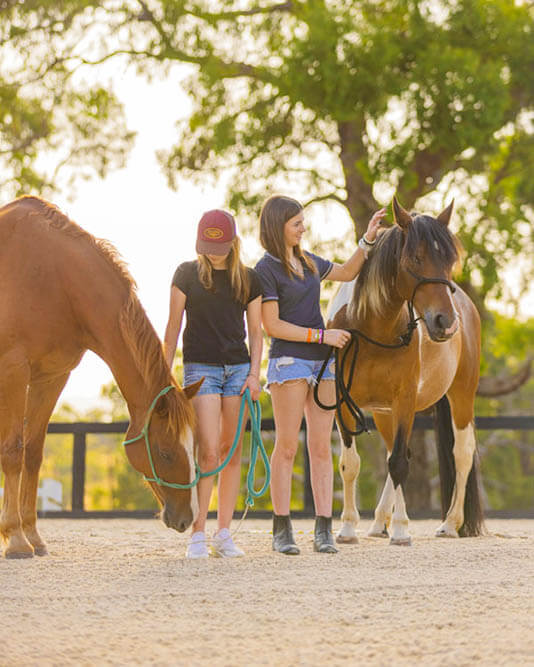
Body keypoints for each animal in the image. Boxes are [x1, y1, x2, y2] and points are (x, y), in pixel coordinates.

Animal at [0, 196, 202, 558]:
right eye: (165, 452)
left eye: (193, 446)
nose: (186, 519)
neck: (54, 279)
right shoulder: (14, 371)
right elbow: (12, 452)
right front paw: (17, 540)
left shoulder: (51, 377)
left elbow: (33, 453)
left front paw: (33, 535)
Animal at [327, 198, 484, 545]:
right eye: (416, 257)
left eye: (450, 260)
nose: (445, 323)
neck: (371, 328)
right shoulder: (344, 404)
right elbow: (350, 464)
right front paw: (347, 528)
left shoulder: (405, 401)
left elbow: (399, 463)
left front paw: (401, 529)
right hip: (384, 412)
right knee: (395, 453)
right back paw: (378, 522)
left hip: (461, 395)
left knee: (462, 452)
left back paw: (449, 524)